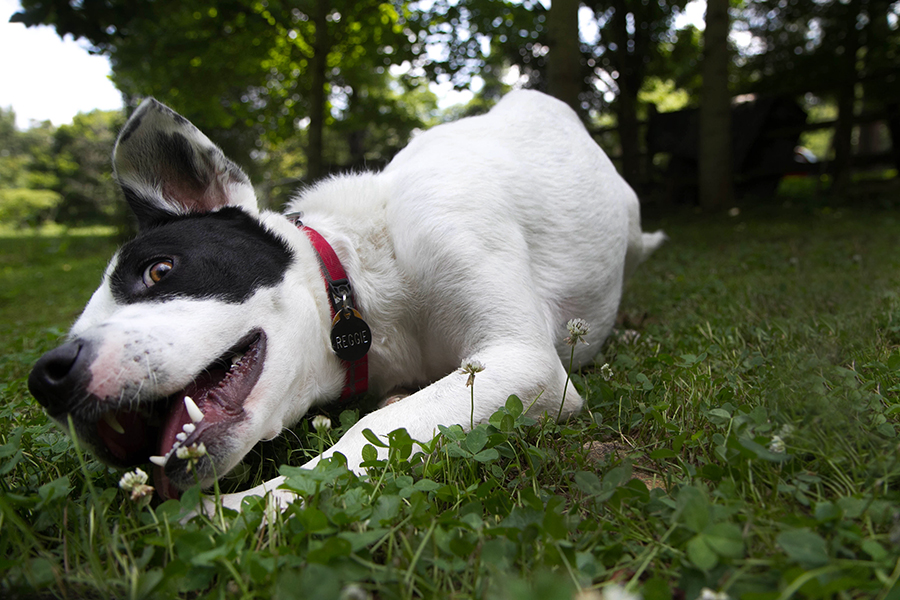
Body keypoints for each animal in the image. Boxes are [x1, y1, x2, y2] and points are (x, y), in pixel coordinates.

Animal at [28, 89, 664, 510]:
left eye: (158, 270)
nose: (47, 375)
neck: (363, 275)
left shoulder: (522, 359)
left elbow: (366, 433)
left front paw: (238, 510)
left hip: (634, 229)